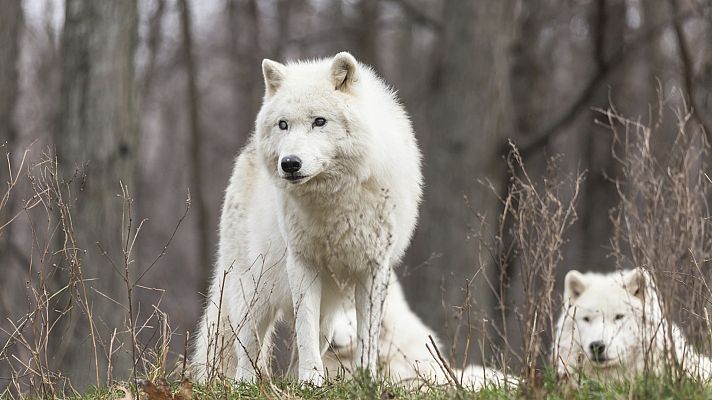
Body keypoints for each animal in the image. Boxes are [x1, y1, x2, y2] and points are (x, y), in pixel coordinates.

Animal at [191, 51, 422, 386]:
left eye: (319, 121)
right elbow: (304, 329)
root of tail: (246, 151)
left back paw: (289, 381)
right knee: (248, 346)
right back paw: (246, 383)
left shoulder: (374, 268)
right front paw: (311, 380)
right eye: (283, 124)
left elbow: (367, 334)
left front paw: (365, 380)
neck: (333, 202)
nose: (289, 164)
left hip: (329, 311)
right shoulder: (301, 264)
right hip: (253, 291)